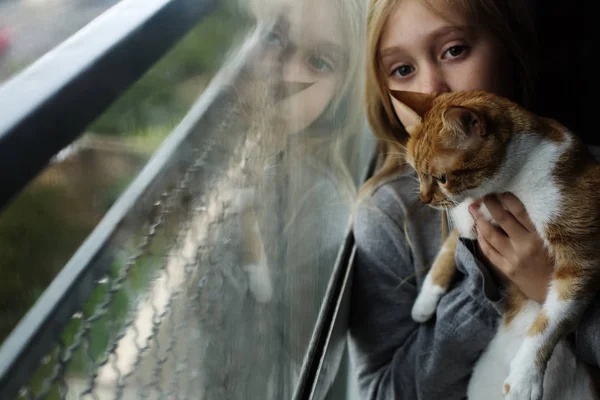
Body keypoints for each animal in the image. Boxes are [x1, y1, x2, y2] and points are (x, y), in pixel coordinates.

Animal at [390, 90, 600, 400]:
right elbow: (448, 250)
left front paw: (524, 378)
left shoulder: (582, 258)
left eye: (442, 178)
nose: (424, 199)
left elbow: (551, 321)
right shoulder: (467, 220)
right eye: (417, 172)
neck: (506, 185)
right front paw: (425, 301)